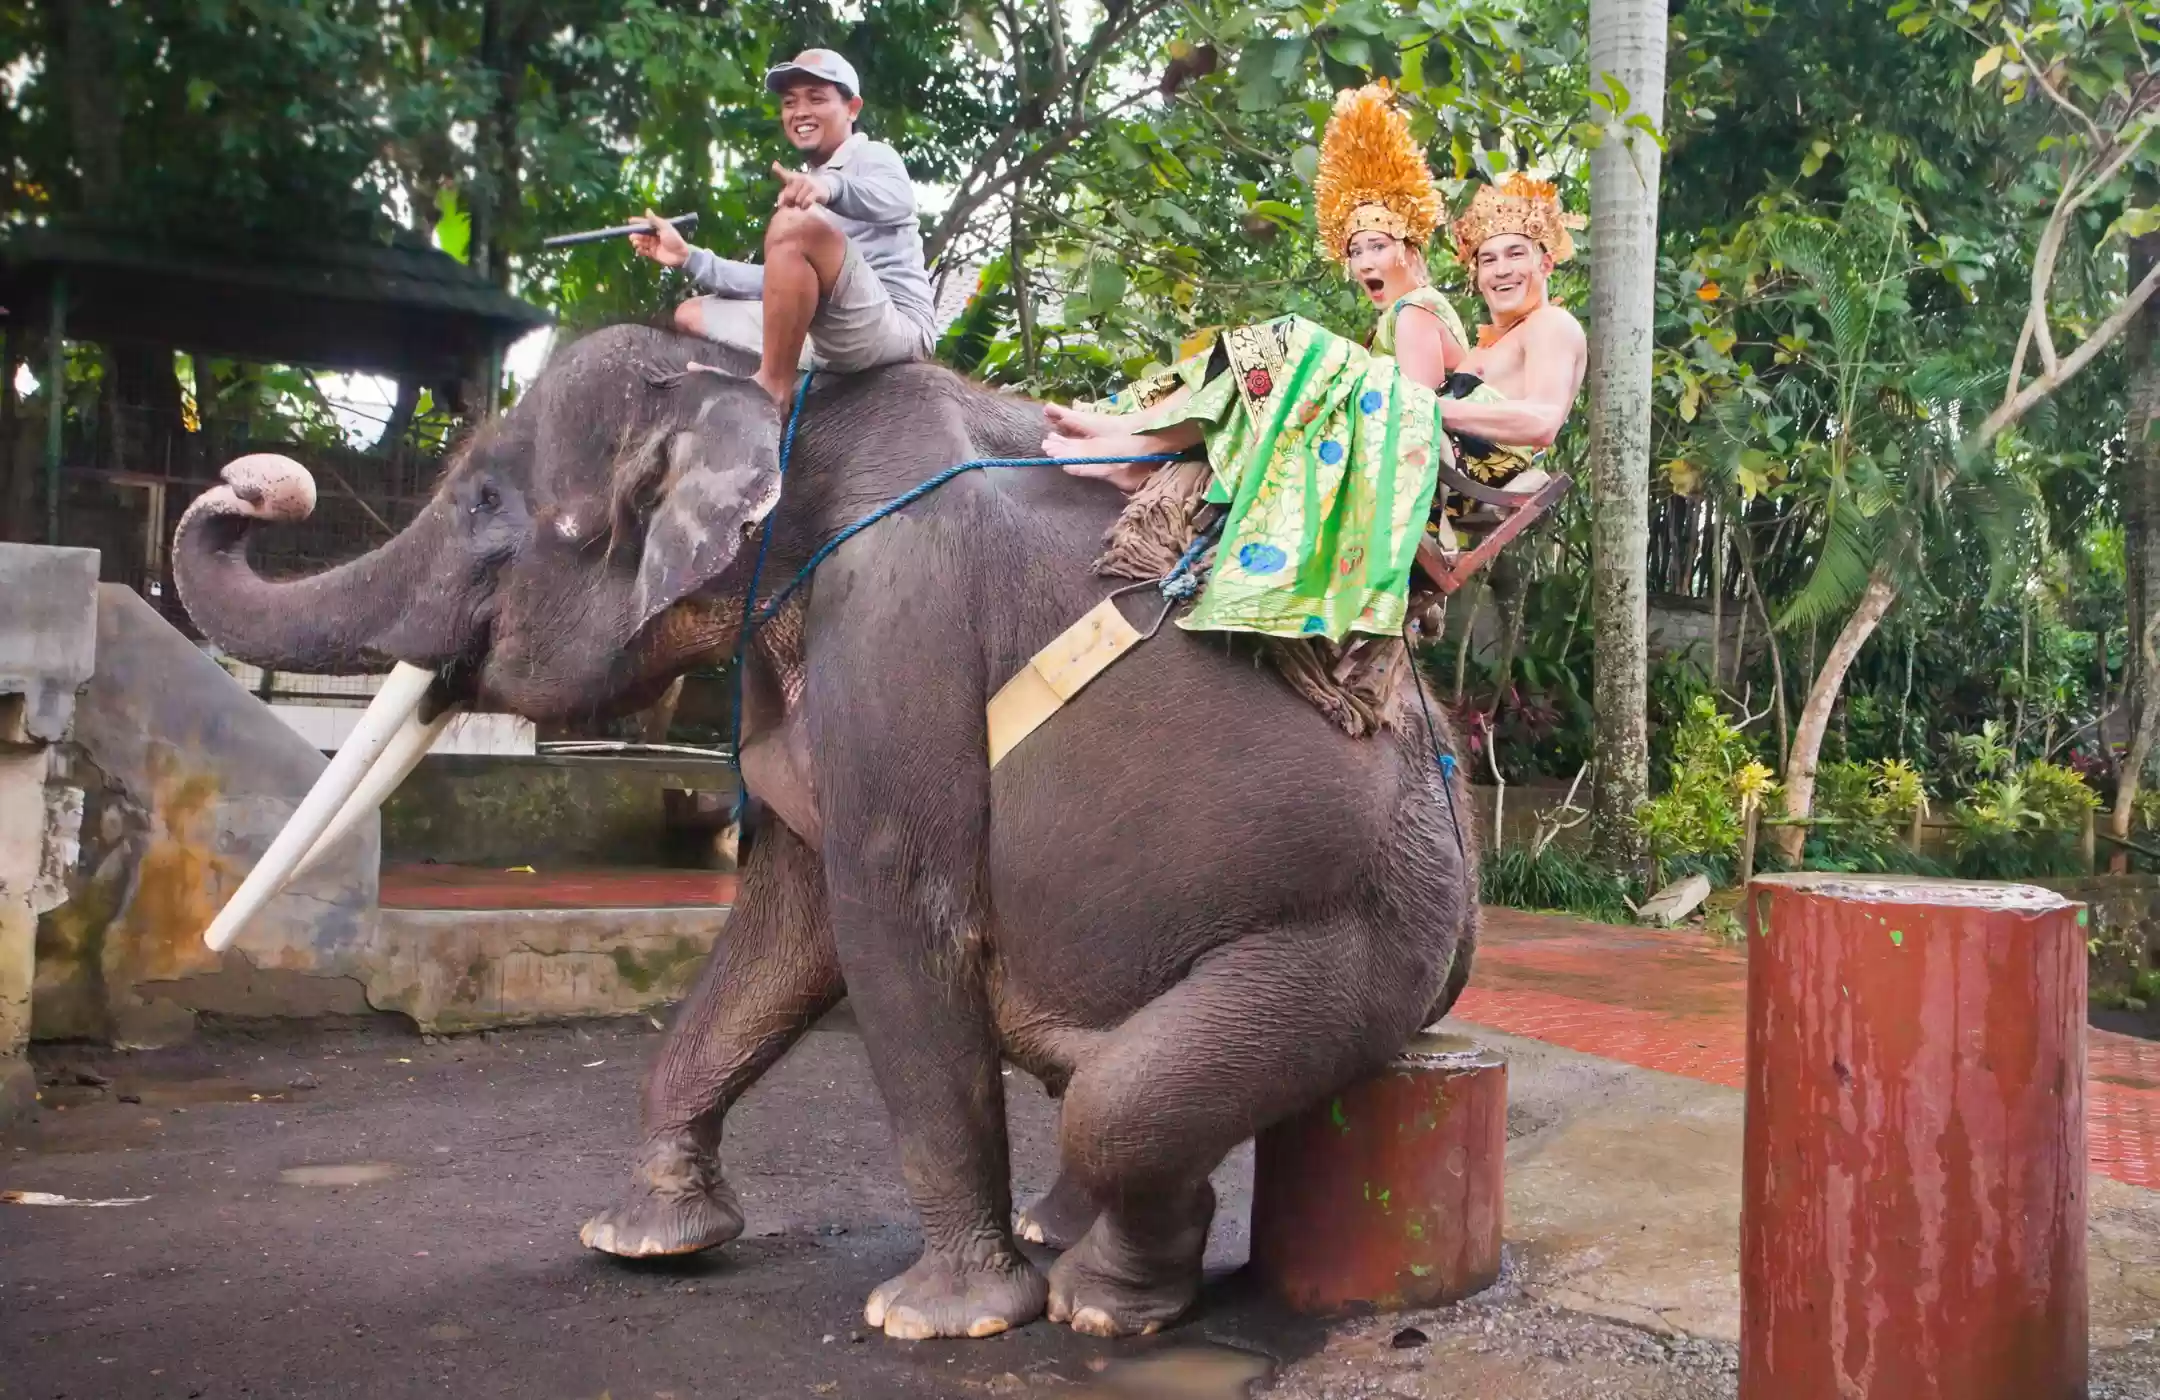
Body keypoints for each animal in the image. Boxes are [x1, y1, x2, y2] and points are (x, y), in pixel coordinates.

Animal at [172, 323, 1479, 1341]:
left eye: (486, 501)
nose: (256, 481)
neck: (771, 395)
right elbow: (783, 926)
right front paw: (641, 1240)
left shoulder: (897, 620)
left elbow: (891, 911)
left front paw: (936, 1318)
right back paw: (1064, 1240)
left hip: (1363, 930)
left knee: (1123, 1096)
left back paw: (1103, 1302)